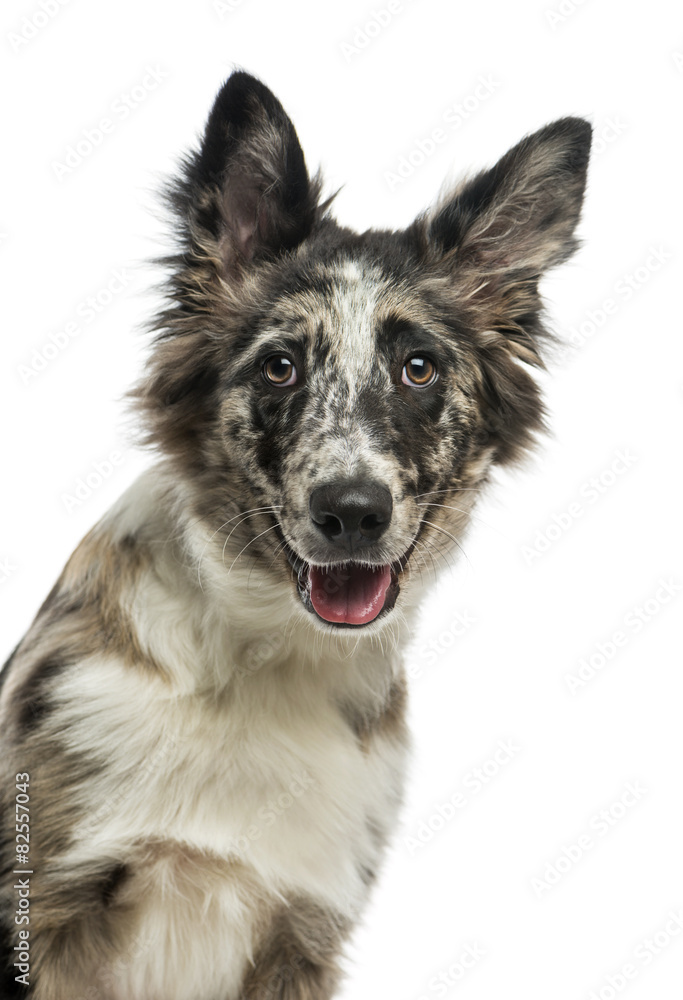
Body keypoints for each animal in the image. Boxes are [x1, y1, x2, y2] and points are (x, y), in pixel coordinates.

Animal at [0, 72, 592, 1000]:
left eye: (417, 368)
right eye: (279, 367)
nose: (350, 513)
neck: (263, 658)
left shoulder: (299, 931)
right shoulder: (46, 907)